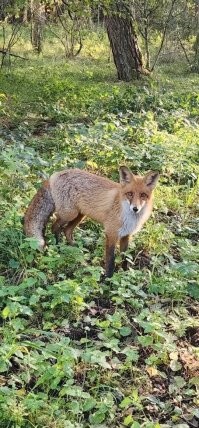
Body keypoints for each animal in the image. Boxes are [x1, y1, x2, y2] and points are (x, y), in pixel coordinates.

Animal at [24, 167, 159, 278]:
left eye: (143, 195)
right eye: (130, 194)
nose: (135, 208)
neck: (128, 217)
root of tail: (55, 174)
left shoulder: (126, 235)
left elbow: (125, 258)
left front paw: (125, 274)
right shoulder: (111, 233)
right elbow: (111, 260)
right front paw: (108, 279)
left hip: (80, 215)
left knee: (67, 230)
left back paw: (75, 249)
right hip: (69, 214)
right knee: (55, 227)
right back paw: (58, 247)